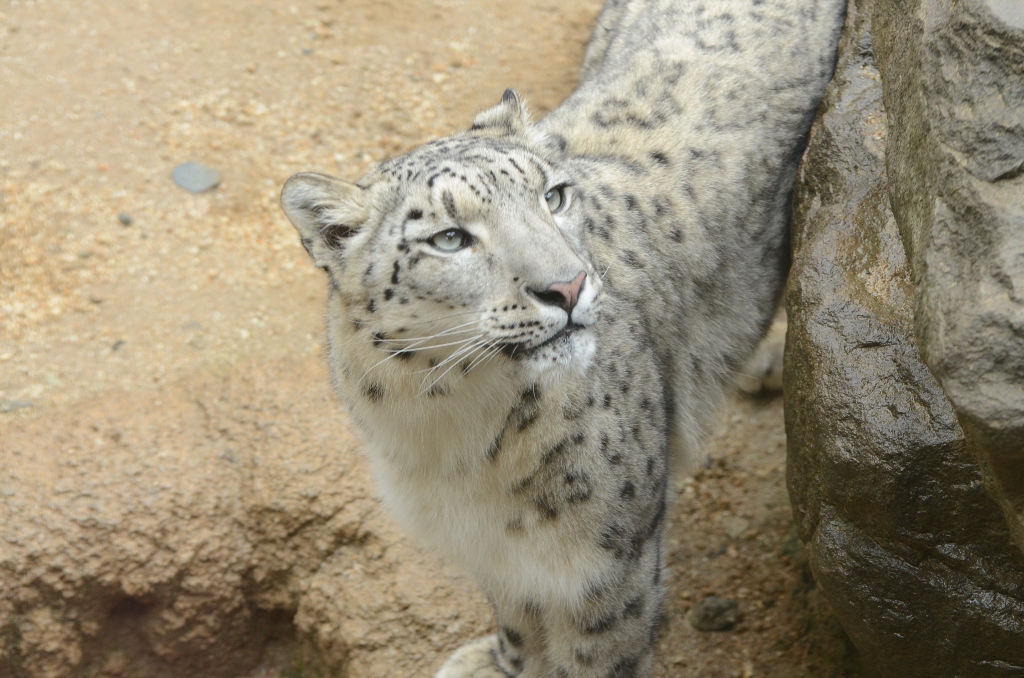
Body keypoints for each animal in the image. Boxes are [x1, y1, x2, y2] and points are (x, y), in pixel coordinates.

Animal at [278, 1, 839, 675]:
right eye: (449, 238)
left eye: (554, 196)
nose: (568, 287)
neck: (449, 430)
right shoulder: (496, 549)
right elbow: (516, 614)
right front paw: (500, 662)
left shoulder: (609, 559)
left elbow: (595, 654)